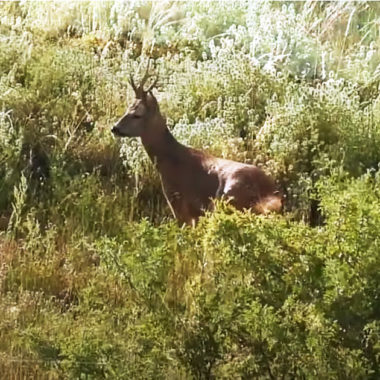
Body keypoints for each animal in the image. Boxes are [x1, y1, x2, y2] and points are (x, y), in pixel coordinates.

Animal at [111, 68, 280, 226]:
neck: (169, 160)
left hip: (228, 193)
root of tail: (272, 194)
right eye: (127, 109)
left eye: (136, 115)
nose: (114, 128)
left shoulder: (177, 201)